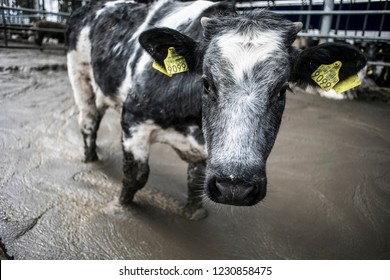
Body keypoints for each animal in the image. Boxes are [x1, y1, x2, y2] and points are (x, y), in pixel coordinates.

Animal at [65, 0, 368, 218]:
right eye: (206, 83)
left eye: (282, 90)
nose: (236, 187)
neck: (193, 125)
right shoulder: (134, 121)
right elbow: (135, 176)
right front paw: (121, 207)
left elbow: (196, 179)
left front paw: (193, 212)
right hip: (79, 77)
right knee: (88, 121)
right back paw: (90, 158)